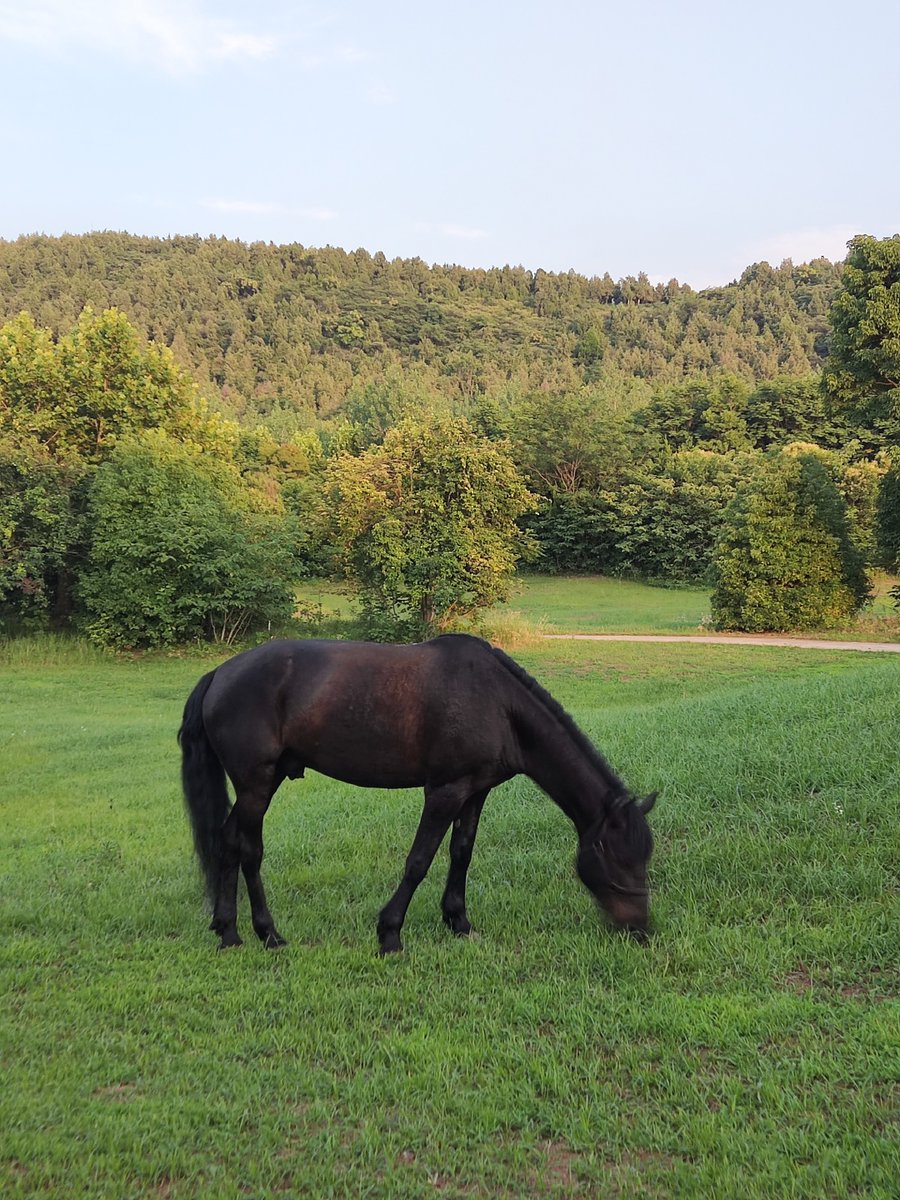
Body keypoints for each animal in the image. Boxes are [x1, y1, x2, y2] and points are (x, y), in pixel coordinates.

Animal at [178, 634, 657, 954]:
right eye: (618, 858)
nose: (641, 928)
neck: (497, 703)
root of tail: (220, 673)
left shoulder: (475, 792)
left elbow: (461, 853)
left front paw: (459, 921)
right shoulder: (444, 792)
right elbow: (419, 861)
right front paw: (390, 933)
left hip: (263, 782)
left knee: (226, 843)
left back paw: (229, 931)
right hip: (256, 785)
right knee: (248, 851)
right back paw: (267, 933)